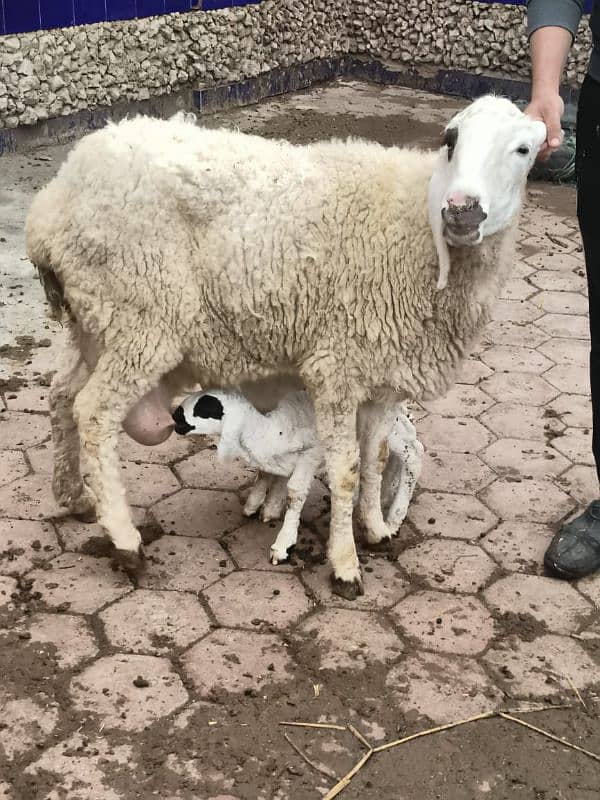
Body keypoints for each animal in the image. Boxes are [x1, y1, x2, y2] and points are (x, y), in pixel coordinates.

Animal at [170, 388, 422, 564]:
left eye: (206, 407)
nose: (175, 415)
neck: (268, 427)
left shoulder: (312, 453)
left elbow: (295, 491)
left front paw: (283, 544)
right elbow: (268, 474)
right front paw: (262, 505)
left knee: (413, 451)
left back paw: (392, 520)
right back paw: (379, 498)